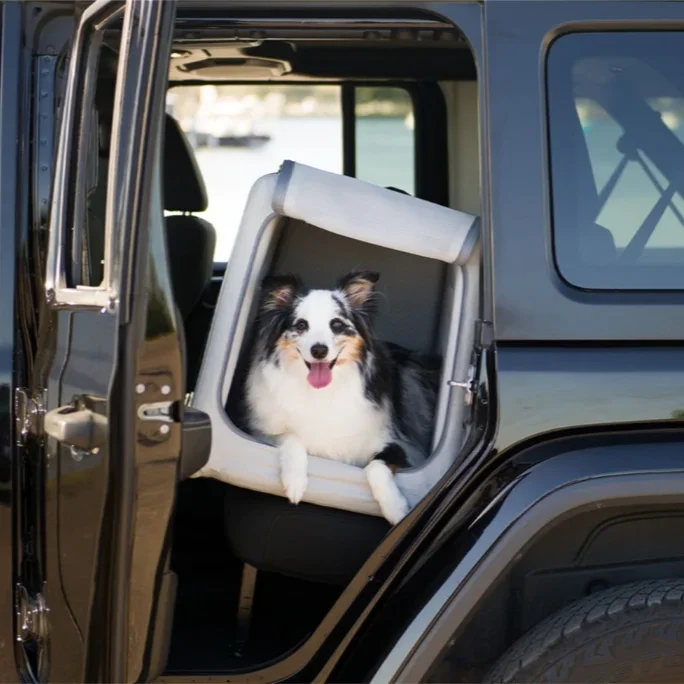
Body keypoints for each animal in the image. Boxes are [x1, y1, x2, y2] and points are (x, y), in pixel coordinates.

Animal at [246, 268, 438, 524]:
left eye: (336, 324)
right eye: (301, 325)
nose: (319, 350)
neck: (323, 392)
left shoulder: (400, 446)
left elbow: (375, 468)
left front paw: (396, 509)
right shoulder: (261, 432)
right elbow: (291, 437)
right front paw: (295, 481)